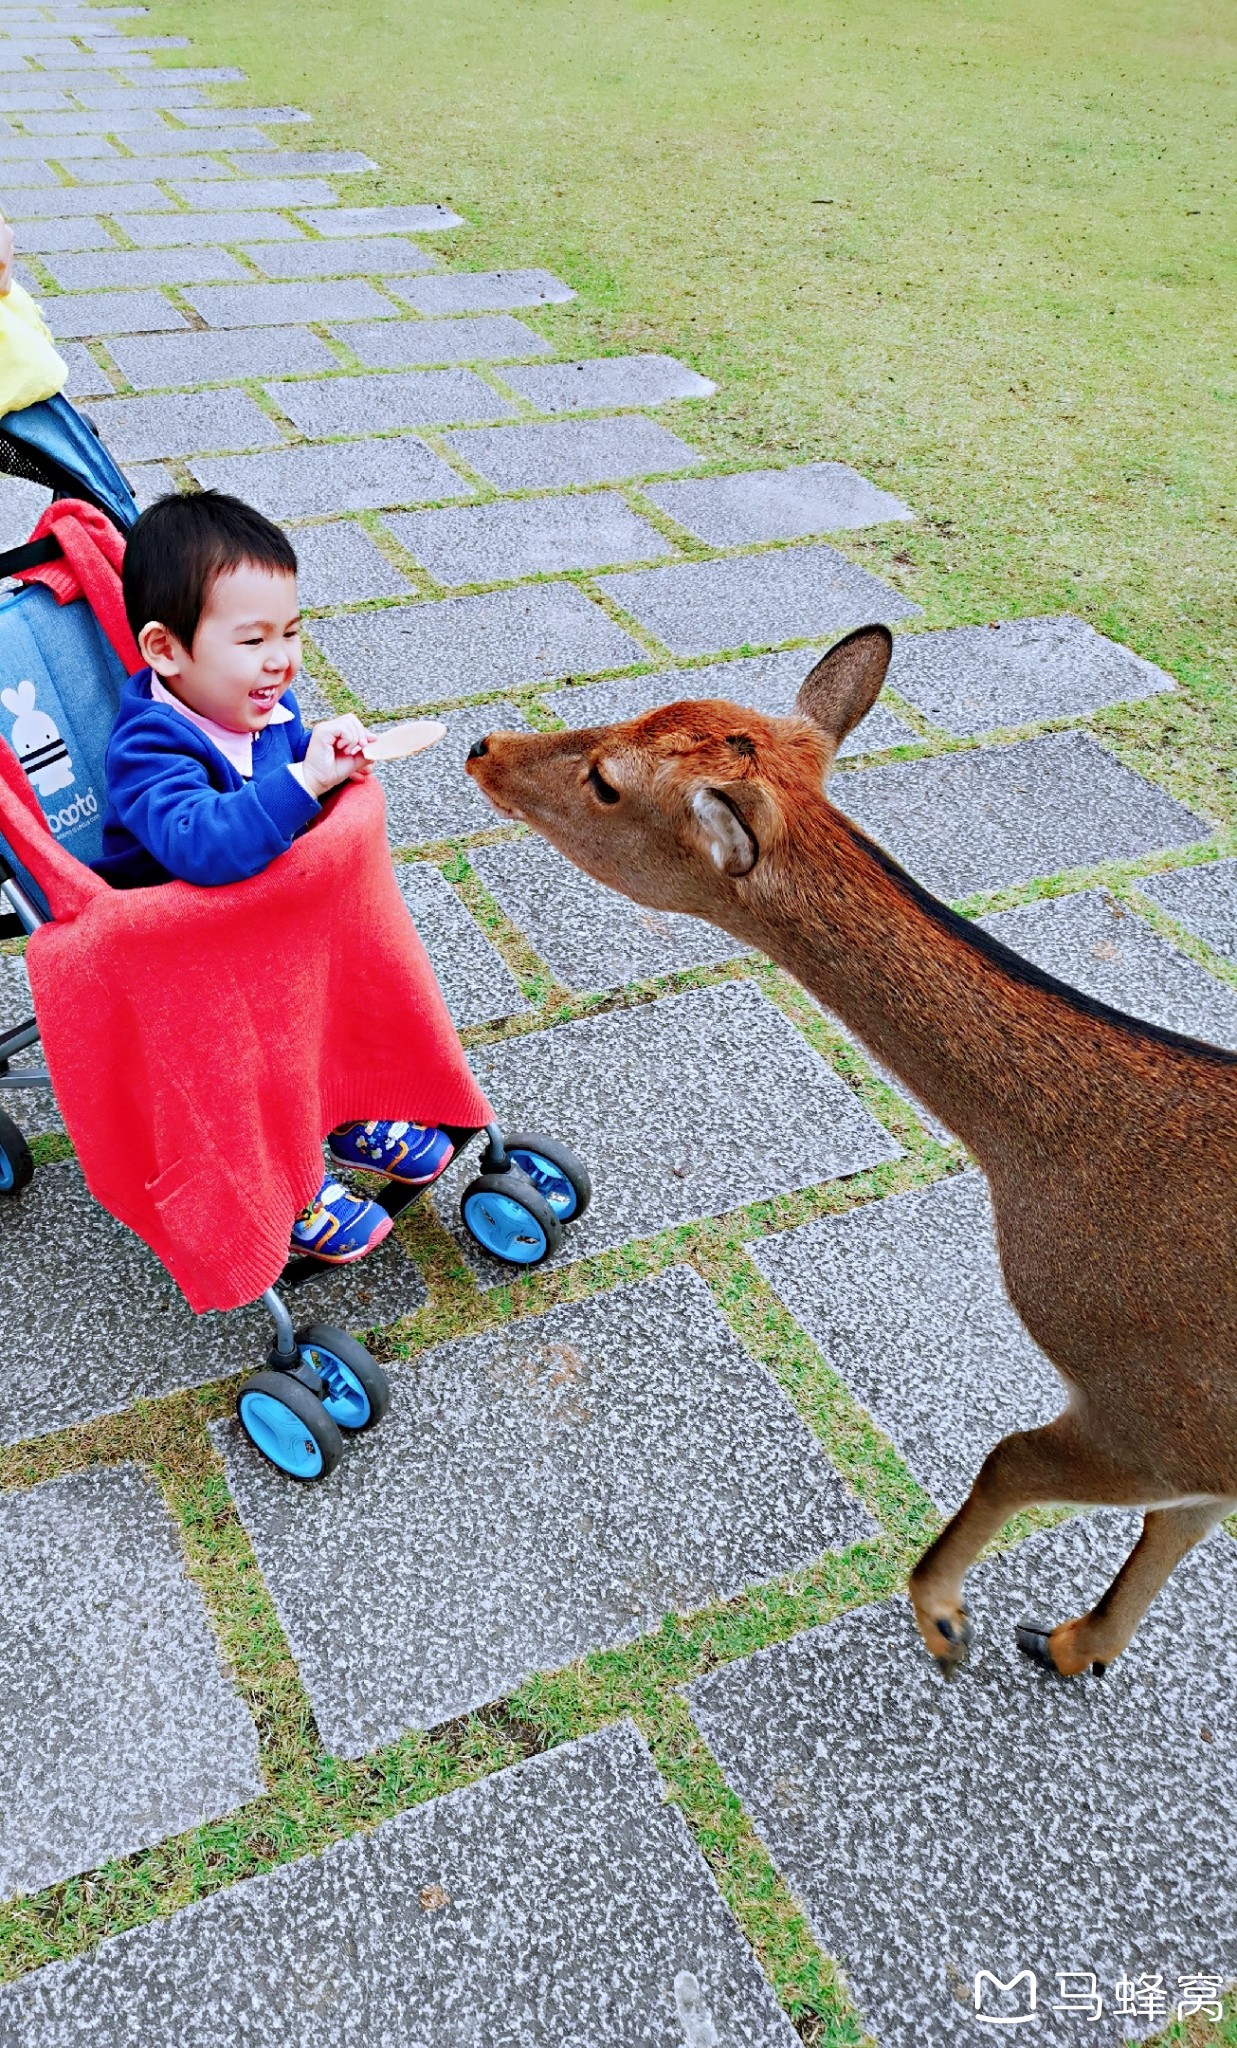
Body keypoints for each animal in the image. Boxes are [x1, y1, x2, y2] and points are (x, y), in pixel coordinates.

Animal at [466, 626, 1237, 1679]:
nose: (483, 747)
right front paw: (1071, 1646)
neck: (1050, 1169)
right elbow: (1178, 1524)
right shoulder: (1198, 1452)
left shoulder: (1154, 1411)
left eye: (606, 783)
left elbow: (1015, 1460)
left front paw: (947, 1623)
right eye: (646, 710)